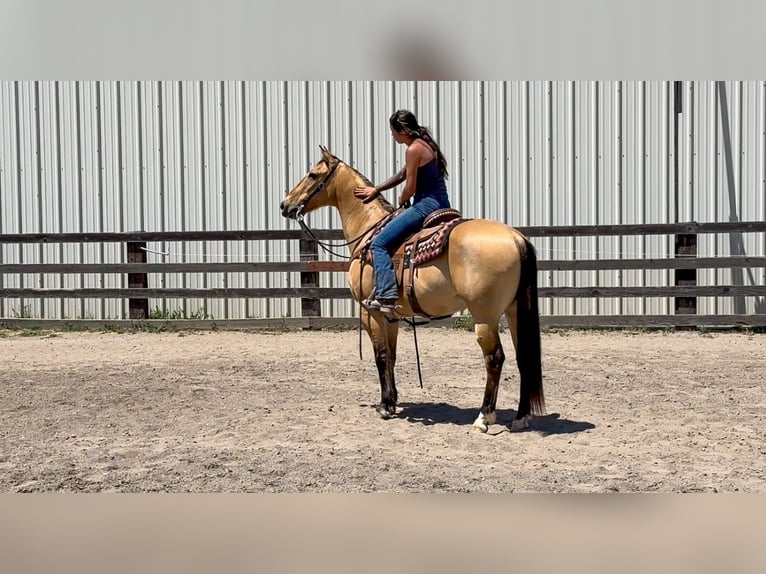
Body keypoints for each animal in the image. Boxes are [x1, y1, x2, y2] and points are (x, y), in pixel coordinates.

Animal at [282, 146, 544, 434]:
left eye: (312, 174)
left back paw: (484, 417)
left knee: (495, 358)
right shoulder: (391, 315)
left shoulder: (369, 312)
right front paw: (393, 399)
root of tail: (515, 237)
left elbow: (380, 355)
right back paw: (521, 417)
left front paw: (385, 406)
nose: (285, 205)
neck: (369, 233)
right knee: (523, 357)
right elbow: (392, 356)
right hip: (514, 310)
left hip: (484, 316)